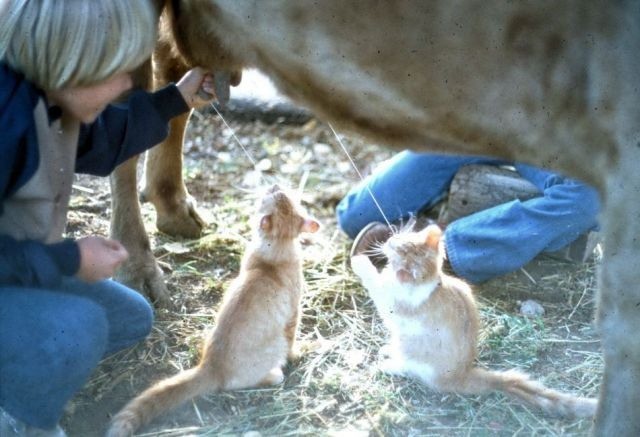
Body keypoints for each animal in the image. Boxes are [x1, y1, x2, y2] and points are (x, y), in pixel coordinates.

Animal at [109, 185, 324, 436]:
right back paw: (274, 375)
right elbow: (293, 341)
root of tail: (209, 367)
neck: (275, 248)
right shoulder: (293, 314)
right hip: (274, 349)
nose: (275, 186)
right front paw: (302, 351)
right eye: (277, 195)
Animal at [350, 223, 596, 418]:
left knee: (409, 368)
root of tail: (462, 375)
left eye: (400, 249)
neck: (428, 282)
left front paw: (360, 262)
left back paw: (387, 364)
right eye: (403, 239)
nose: (390, 240)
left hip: (410, 346)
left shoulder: (390, 303)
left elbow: (374, 283)